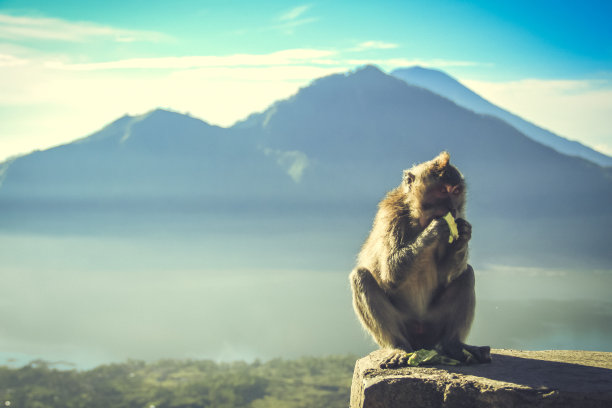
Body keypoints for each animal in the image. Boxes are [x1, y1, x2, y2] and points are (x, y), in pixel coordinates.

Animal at [352, 151, 490, 366]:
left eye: (456, 191)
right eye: (441, 190)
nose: (453, 209)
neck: (419, 218)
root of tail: (420, 340)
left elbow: (446, 276)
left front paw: (463, 234)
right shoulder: (391, 215)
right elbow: (390, 273)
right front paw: (435, 229)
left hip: (434, 325)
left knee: (467, 274)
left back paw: (453, 345)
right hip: (406, 326)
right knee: (361, 276)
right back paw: (399, 347)